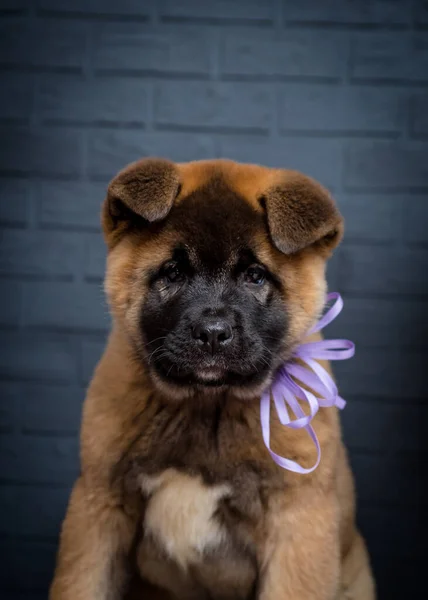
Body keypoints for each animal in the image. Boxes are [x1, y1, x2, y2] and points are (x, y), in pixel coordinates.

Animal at [49, 157, 374, 596]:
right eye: (172, 272)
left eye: (255, 276)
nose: (213, 333)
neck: (205, 406)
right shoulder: (99, 507)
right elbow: (80, 584)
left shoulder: (298, 525)